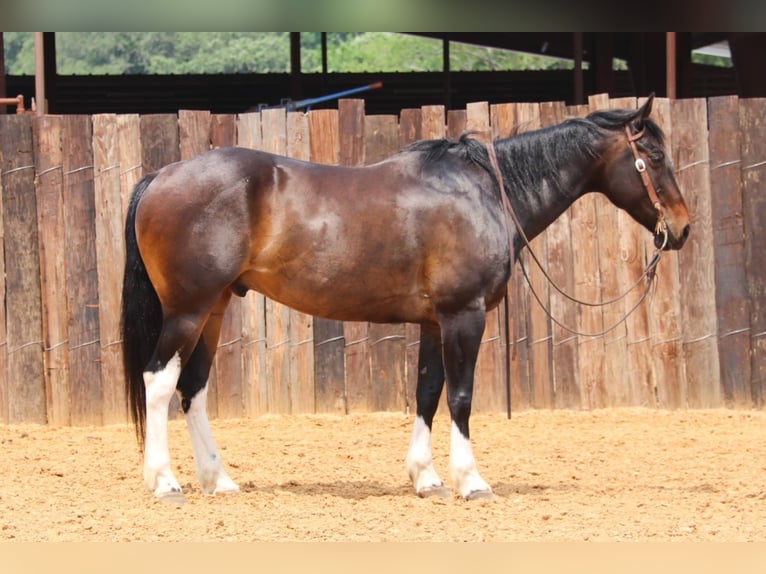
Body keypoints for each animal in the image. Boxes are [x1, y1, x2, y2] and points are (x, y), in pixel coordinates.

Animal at [121, 94, 688, 504]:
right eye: (655, 157)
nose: (681, 229)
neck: (484, 192)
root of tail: (161, 176)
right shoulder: (464, 315)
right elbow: (460, 397)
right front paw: (470, 481)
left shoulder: (435, 322)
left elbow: (427, 393)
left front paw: (426, 478)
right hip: (188, 310)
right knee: (159, 381)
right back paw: (165, 482)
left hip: (214, 309)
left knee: (193, 388)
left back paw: (218, 481)